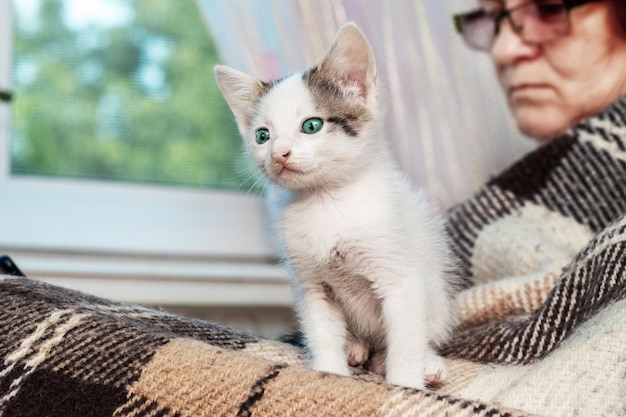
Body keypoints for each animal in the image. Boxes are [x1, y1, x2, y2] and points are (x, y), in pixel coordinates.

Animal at [213, 22, 454, 386]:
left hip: (436, 289)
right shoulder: (313, 287)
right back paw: (354, 348)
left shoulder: (401, 279)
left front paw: (405, 383)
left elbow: (404, 340)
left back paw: (423, 363)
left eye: (312, 126)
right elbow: (322, 334)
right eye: (262, 136)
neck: (326, 202)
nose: (278, 154)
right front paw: (329, 374)